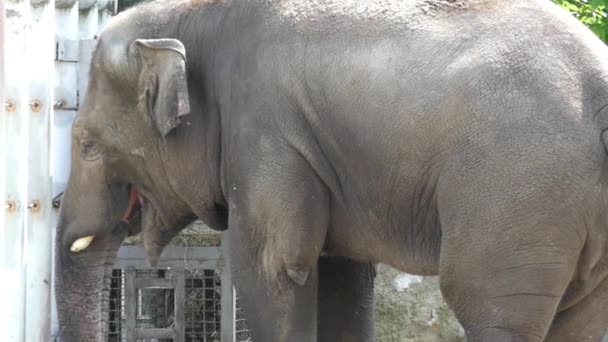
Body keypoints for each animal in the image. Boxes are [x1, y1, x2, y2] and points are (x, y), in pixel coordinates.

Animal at [53, 0, 608, 340]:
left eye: (87, 146)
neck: (196, 15)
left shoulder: (264, 131)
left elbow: (271, 268)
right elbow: (342, 275)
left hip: (517, 193)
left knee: (490, 307)